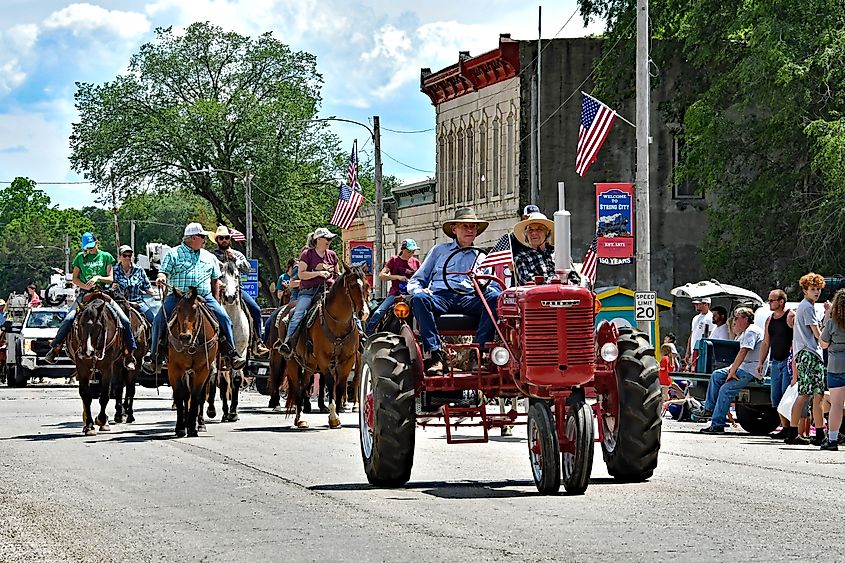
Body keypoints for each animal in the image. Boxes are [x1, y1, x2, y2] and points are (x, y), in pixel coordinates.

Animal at [67, 294, 125, 438]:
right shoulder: (81, 368)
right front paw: (89, 426)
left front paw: (102, 421)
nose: (87, 352)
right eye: (80, 324)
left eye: (98, 326)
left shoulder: (108, 368)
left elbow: (105, 395)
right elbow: (86, 395)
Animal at [167, 288, 218, 438]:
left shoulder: (202, 369)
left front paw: (192, 428)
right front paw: (180, 427)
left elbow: (196, 396)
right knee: (186, 396)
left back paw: (200, 423)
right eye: (178, 309)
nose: (185, 337)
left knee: (200, 395)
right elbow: (180, 395)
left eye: (195, 309)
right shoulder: (174, 368)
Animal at [206, 260, 249, 424]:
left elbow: (235, 379)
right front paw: (225, 412)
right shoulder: (221, 356)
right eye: (221, 276)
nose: (230, 297)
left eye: (236, 275)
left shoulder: (241, 352)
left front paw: (233, 412)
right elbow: (223, 383)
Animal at [284, 266, 366, 430]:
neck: (338, 323)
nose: (364, 313)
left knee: (304, 385)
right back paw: (300, 418)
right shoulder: (324, 359)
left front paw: (338, 415)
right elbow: (330, 382)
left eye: (366, 285)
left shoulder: (347, 360)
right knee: (297, 387)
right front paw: (333, 416)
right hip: (293, 362)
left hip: (309, 365)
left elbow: (340, 386)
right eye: (352, 285)